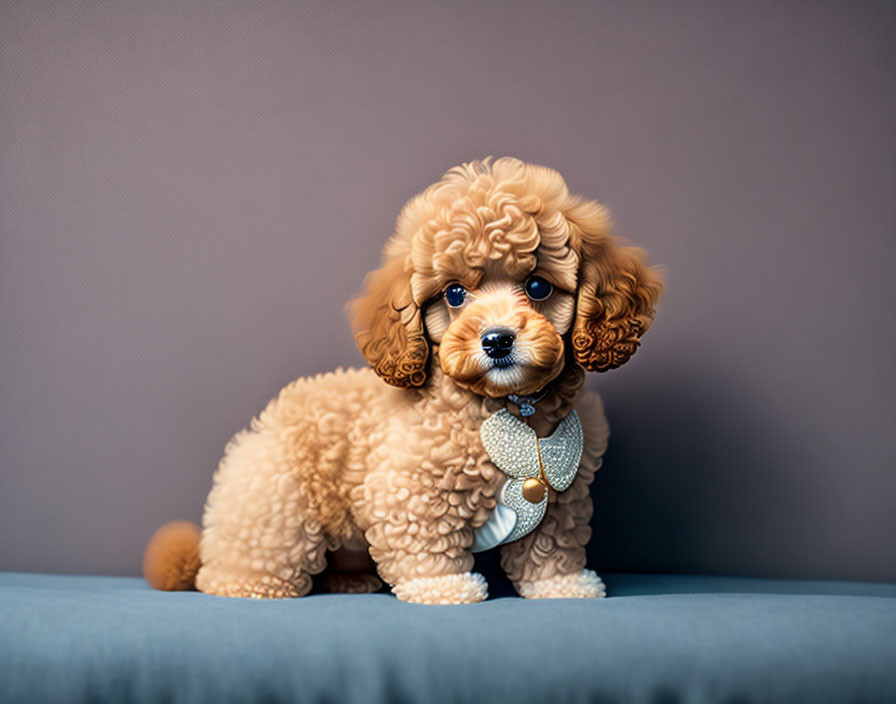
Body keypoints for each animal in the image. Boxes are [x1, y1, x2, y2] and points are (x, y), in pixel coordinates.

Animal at [144, 157, 660, 604]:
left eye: (537, 286)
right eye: (454, 294)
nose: (496, 340)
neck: (508, 406)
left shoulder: (560, 498)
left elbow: (551, 545)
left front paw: (563, 584)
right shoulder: (408, 488)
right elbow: (426, 541)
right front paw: (445, 588)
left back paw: (350, 581)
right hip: (277, 503)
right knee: (250, 557)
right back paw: (246, 583)